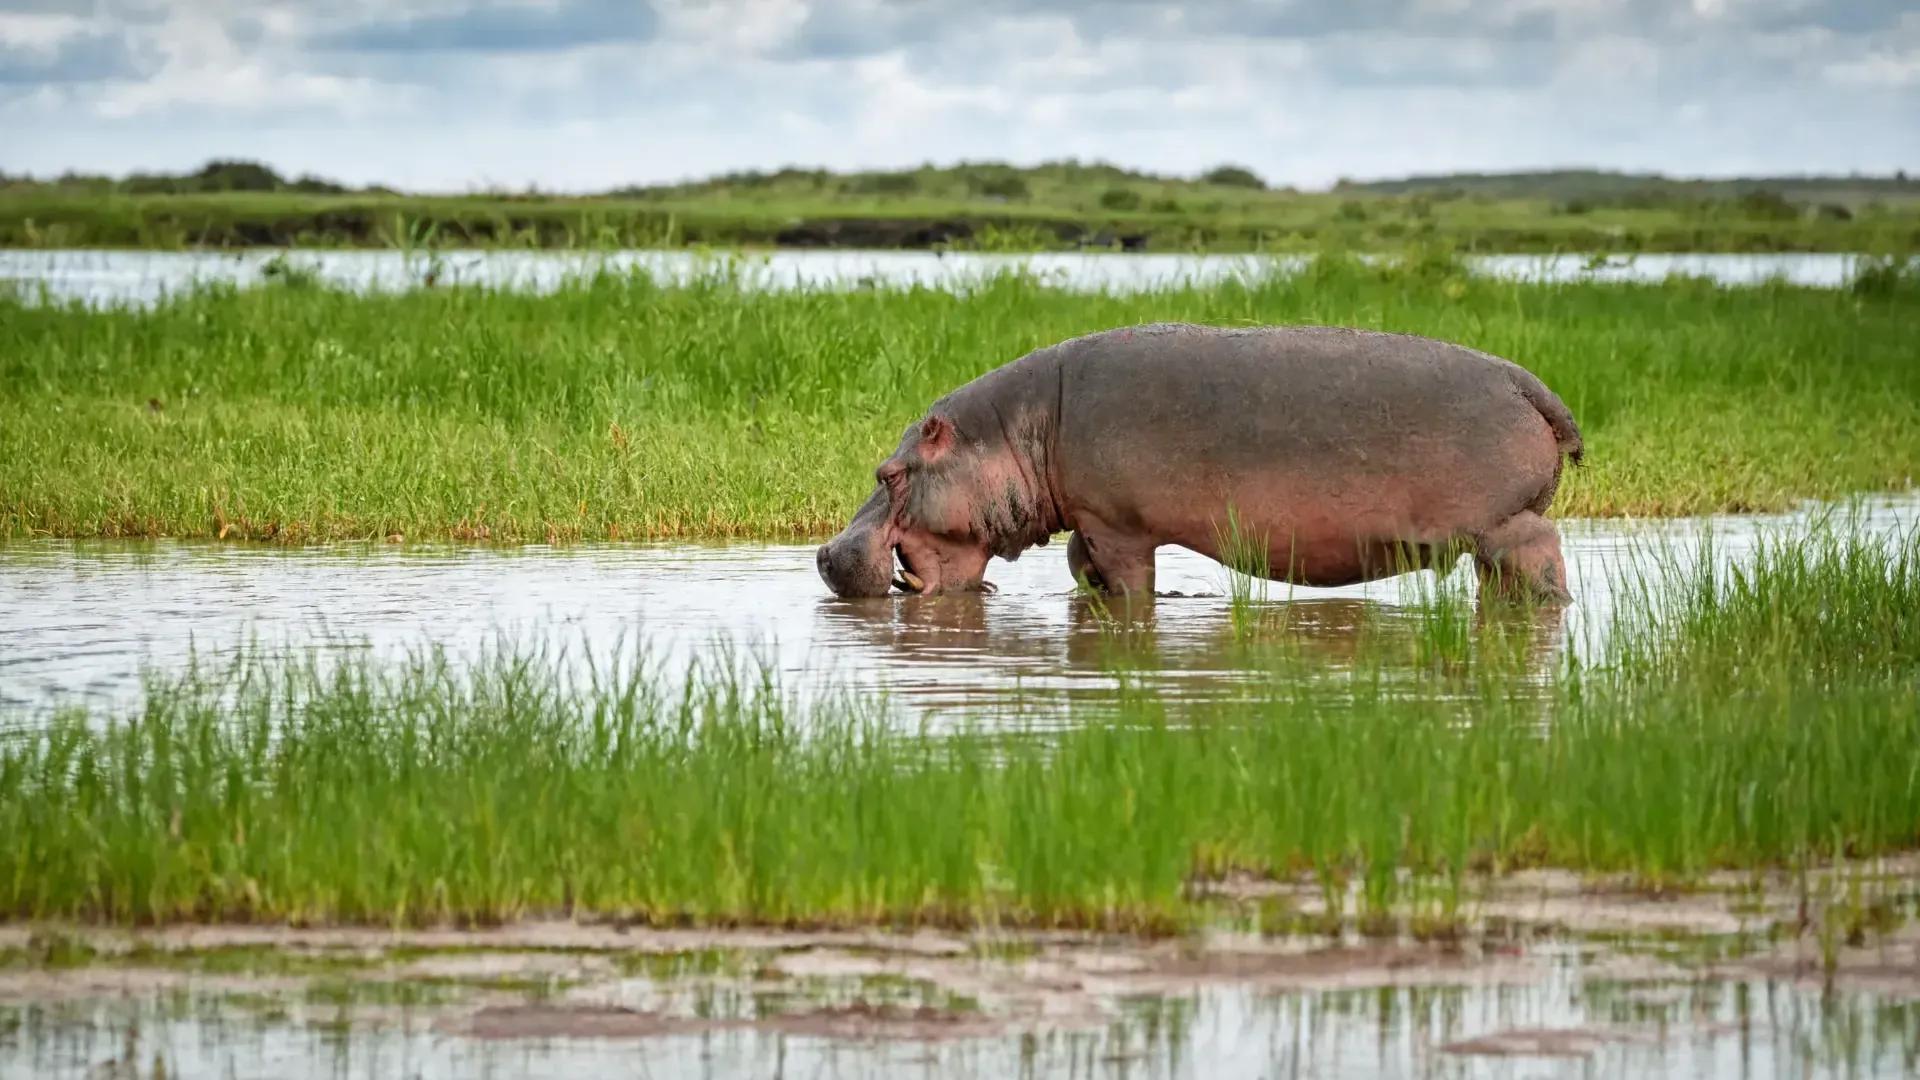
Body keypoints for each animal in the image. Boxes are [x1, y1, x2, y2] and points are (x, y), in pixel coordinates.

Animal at [815, 323, 1584, 603]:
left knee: (1542, 553)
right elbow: (1082, 570)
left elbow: (1129, 583)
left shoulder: (1119, 526)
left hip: (1503, 521)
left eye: (889, 474)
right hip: (1490, 533)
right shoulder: (1089, 521)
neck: (1016, 431)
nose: (823, 553)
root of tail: (1529, 384)